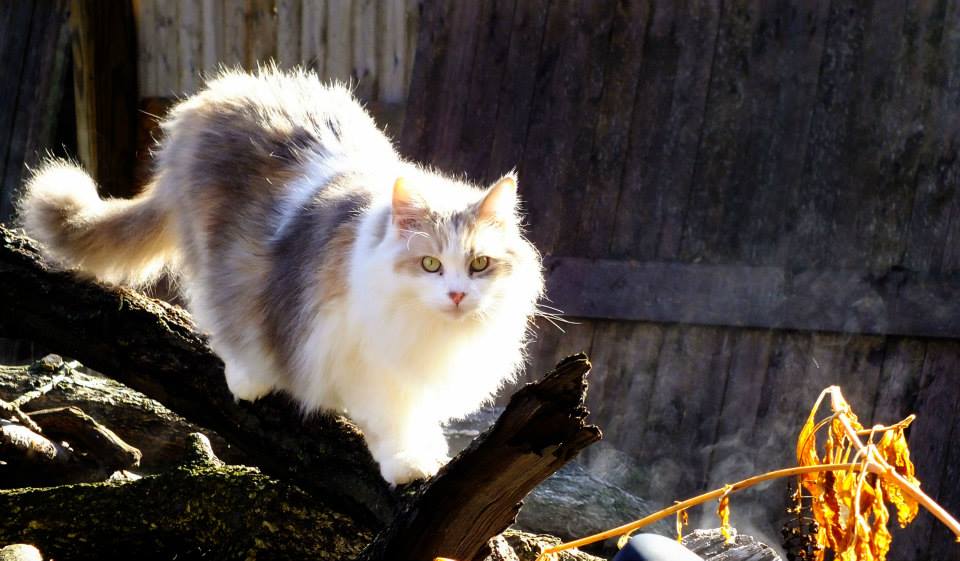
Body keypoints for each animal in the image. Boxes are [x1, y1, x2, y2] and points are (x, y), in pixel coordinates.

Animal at [18, 66, 544, 486]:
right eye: (430, 264)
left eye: (479, 264)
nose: (457, 295)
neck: (429, 329)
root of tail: (221, 93)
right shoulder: (362, 357)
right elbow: (392, 417)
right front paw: (409, 463)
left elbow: (421, 412)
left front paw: (429, 448)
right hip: (221, 257)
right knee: (222, 316)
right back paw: (249, 375)